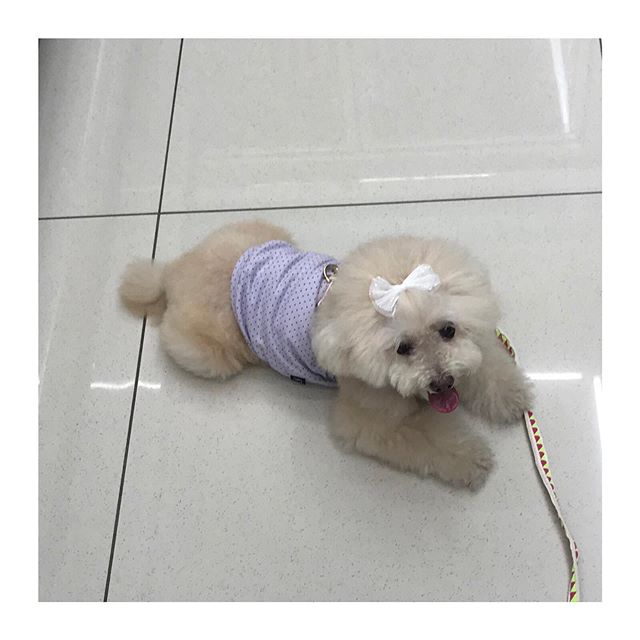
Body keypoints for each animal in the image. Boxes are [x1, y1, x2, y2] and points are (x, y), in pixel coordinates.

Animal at [119, 220, 528, 490]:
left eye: (448, 330)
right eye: (402, 348)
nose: (442, 382)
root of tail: (172, 271)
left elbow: (486, 364)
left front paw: (511, 396)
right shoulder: (370, 419)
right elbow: (430, 439)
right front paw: (472, 458)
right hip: (209, 353)